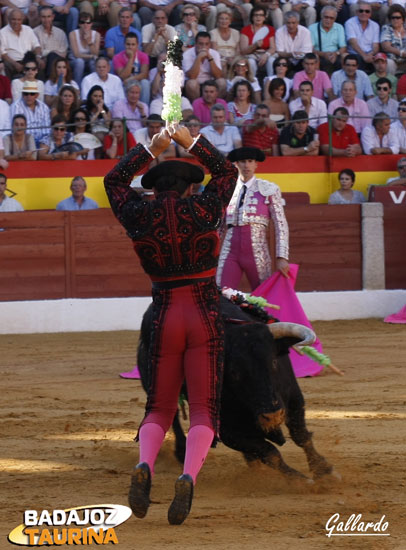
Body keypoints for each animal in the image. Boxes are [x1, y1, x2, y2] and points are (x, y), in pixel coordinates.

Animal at [138, 298, 334, 484]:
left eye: (273, 362)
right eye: (234, 373)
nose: (272, 416)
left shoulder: (294, 398)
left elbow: (300, 435)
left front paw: (324, 471)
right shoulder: (228, 432)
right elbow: (270, 452)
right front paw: (300, 480)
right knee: (170, 415)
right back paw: (181, 451)